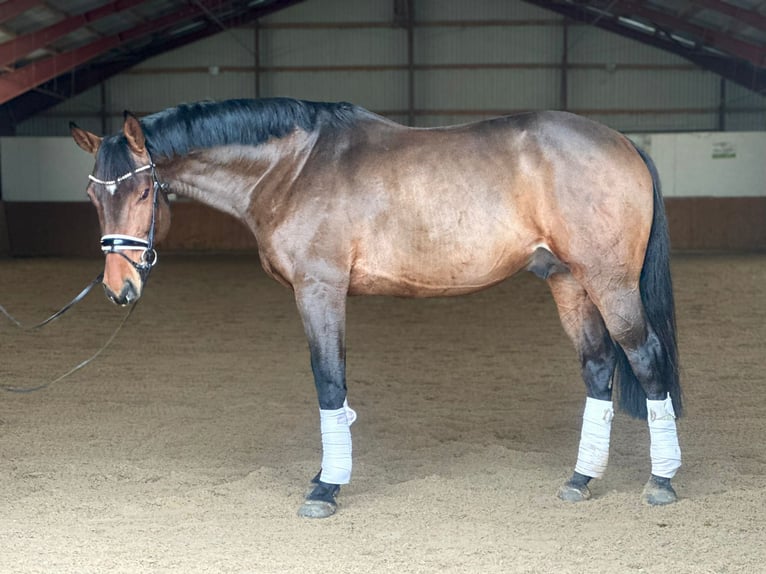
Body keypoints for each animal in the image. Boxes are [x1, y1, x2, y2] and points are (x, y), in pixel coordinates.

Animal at [70, 97, 684, 520]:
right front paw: (326, 474)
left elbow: (328, 380)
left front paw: (325, 487)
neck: (292, 167)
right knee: (598, 368)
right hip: (567, 281)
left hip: (608, 283)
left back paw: (661, 482)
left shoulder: (319, 289)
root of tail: (623, 142)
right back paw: (581, 479)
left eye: (143, 192)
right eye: (93, 195)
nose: (119, 288)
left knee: (647, 359)